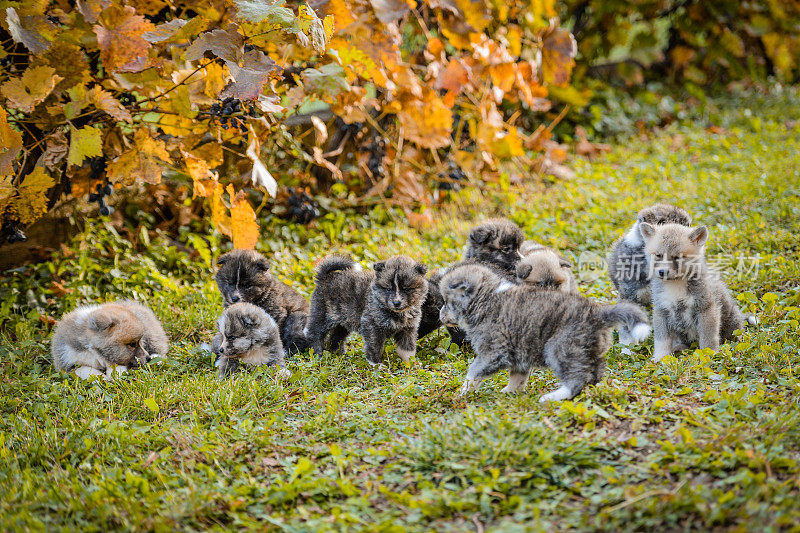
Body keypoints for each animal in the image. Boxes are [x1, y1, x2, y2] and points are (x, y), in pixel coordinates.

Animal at [438, 264, 648, 402]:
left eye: (447, 302)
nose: (440, 313)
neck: (486, 298)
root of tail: (598, 314)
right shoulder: (518, 354)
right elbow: (518, 377)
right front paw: (510, 392)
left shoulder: (493, 352)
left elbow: (473, 372)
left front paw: (461, 393)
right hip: (590, 352)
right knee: (592, 376)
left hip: (559, 348)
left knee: (577, 379)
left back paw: (552, 397)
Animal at [636, 220, 756, 362]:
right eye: (658, 255)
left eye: (677, 257)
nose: (662, 272)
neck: (676, 286)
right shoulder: (662, 311)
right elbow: (662, 341)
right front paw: (661, 357)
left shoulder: (706, 309)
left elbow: (708, 338)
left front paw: (708, 355)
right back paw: (679, 348)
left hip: (732, 324)